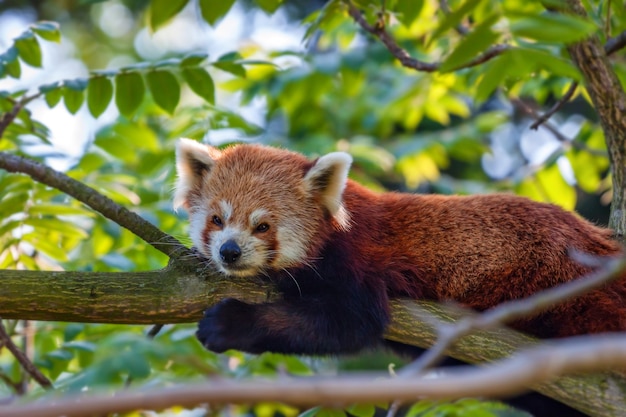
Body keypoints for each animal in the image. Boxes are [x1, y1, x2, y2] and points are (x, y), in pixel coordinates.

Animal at [172, 139, 624, 354]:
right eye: (217, 220)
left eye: (263, 225)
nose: (229, 251)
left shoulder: (357, 259)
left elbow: (350, 322)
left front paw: (230, 323)